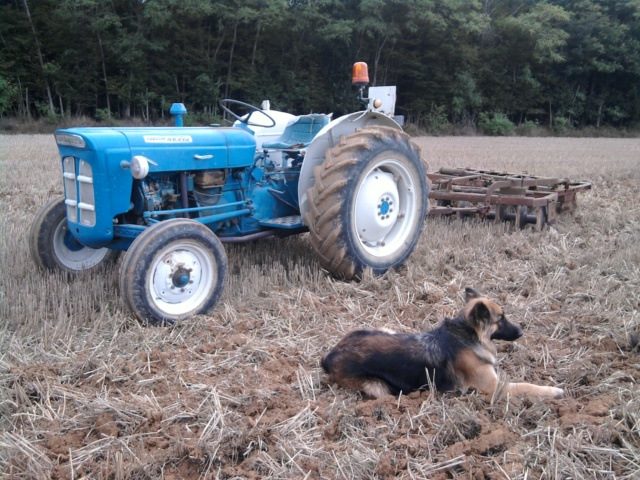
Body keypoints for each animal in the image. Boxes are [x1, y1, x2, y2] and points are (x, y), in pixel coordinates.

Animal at [322, 286, 564, 400]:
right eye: (501, 319)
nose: (522, 332)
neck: (466, 336)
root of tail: (331, 355)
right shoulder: (495, 388)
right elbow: (526, 386)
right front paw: (553, 390)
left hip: (385, 329)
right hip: (379, 388)